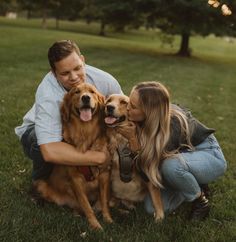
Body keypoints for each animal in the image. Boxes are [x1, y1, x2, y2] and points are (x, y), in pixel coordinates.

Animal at [33, 83, 113, 231]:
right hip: (41, 184)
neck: (85, 130)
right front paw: (95, 225)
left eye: (92, 92)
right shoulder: (76, 180)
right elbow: (86, 205)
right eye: (77, 92)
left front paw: (108, 219)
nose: (86, 97)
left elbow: (104, 201)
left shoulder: (105, 174)